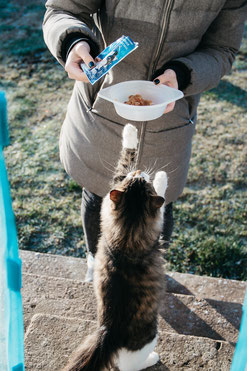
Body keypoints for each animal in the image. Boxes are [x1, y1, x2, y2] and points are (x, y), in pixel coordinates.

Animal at [62, 123, 169, 370]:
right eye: (140, 180)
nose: (139, 172)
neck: (126, 236)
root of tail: (109, 332)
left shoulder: (109, 201)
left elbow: (124, 160)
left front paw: (130, 130)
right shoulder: (156, 228)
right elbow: (160, 198)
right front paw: (161, 176)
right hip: (150, 336)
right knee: (130, 365)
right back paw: (153, 358)